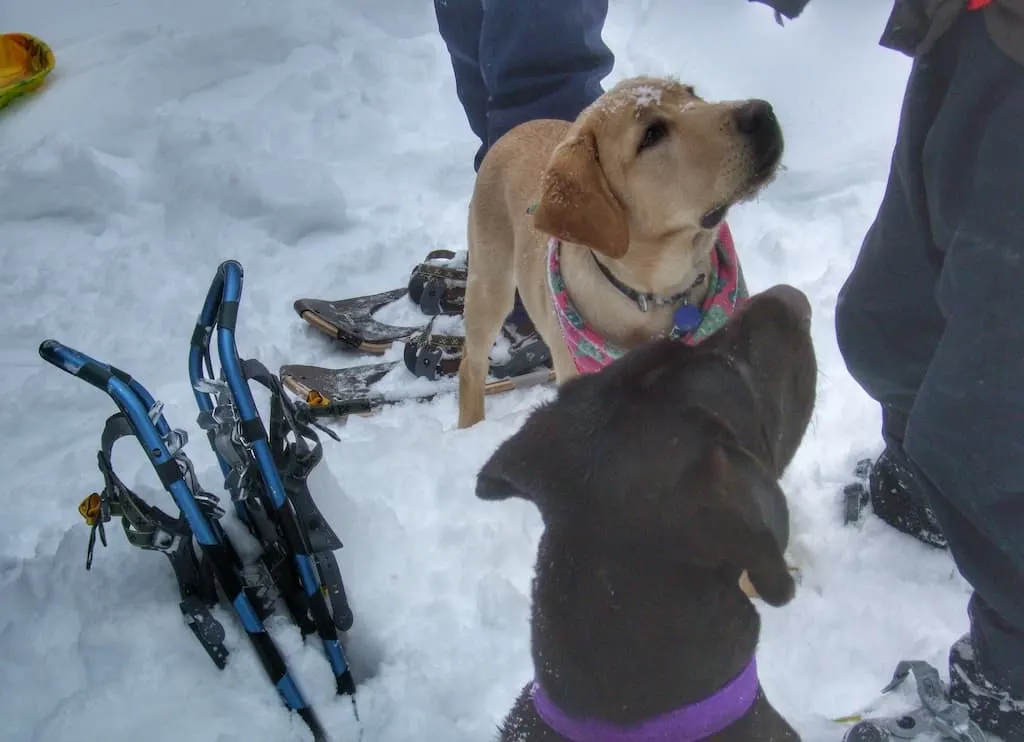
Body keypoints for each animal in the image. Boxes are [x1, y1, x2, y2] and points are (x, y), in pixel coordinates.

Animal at [456, 75, 782, 427]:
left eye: (691, 93)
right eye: (652, 134)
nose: (761, 112)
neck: (659, 293)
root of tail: (515, 129)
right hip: (489, 284)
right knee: (470, 365)